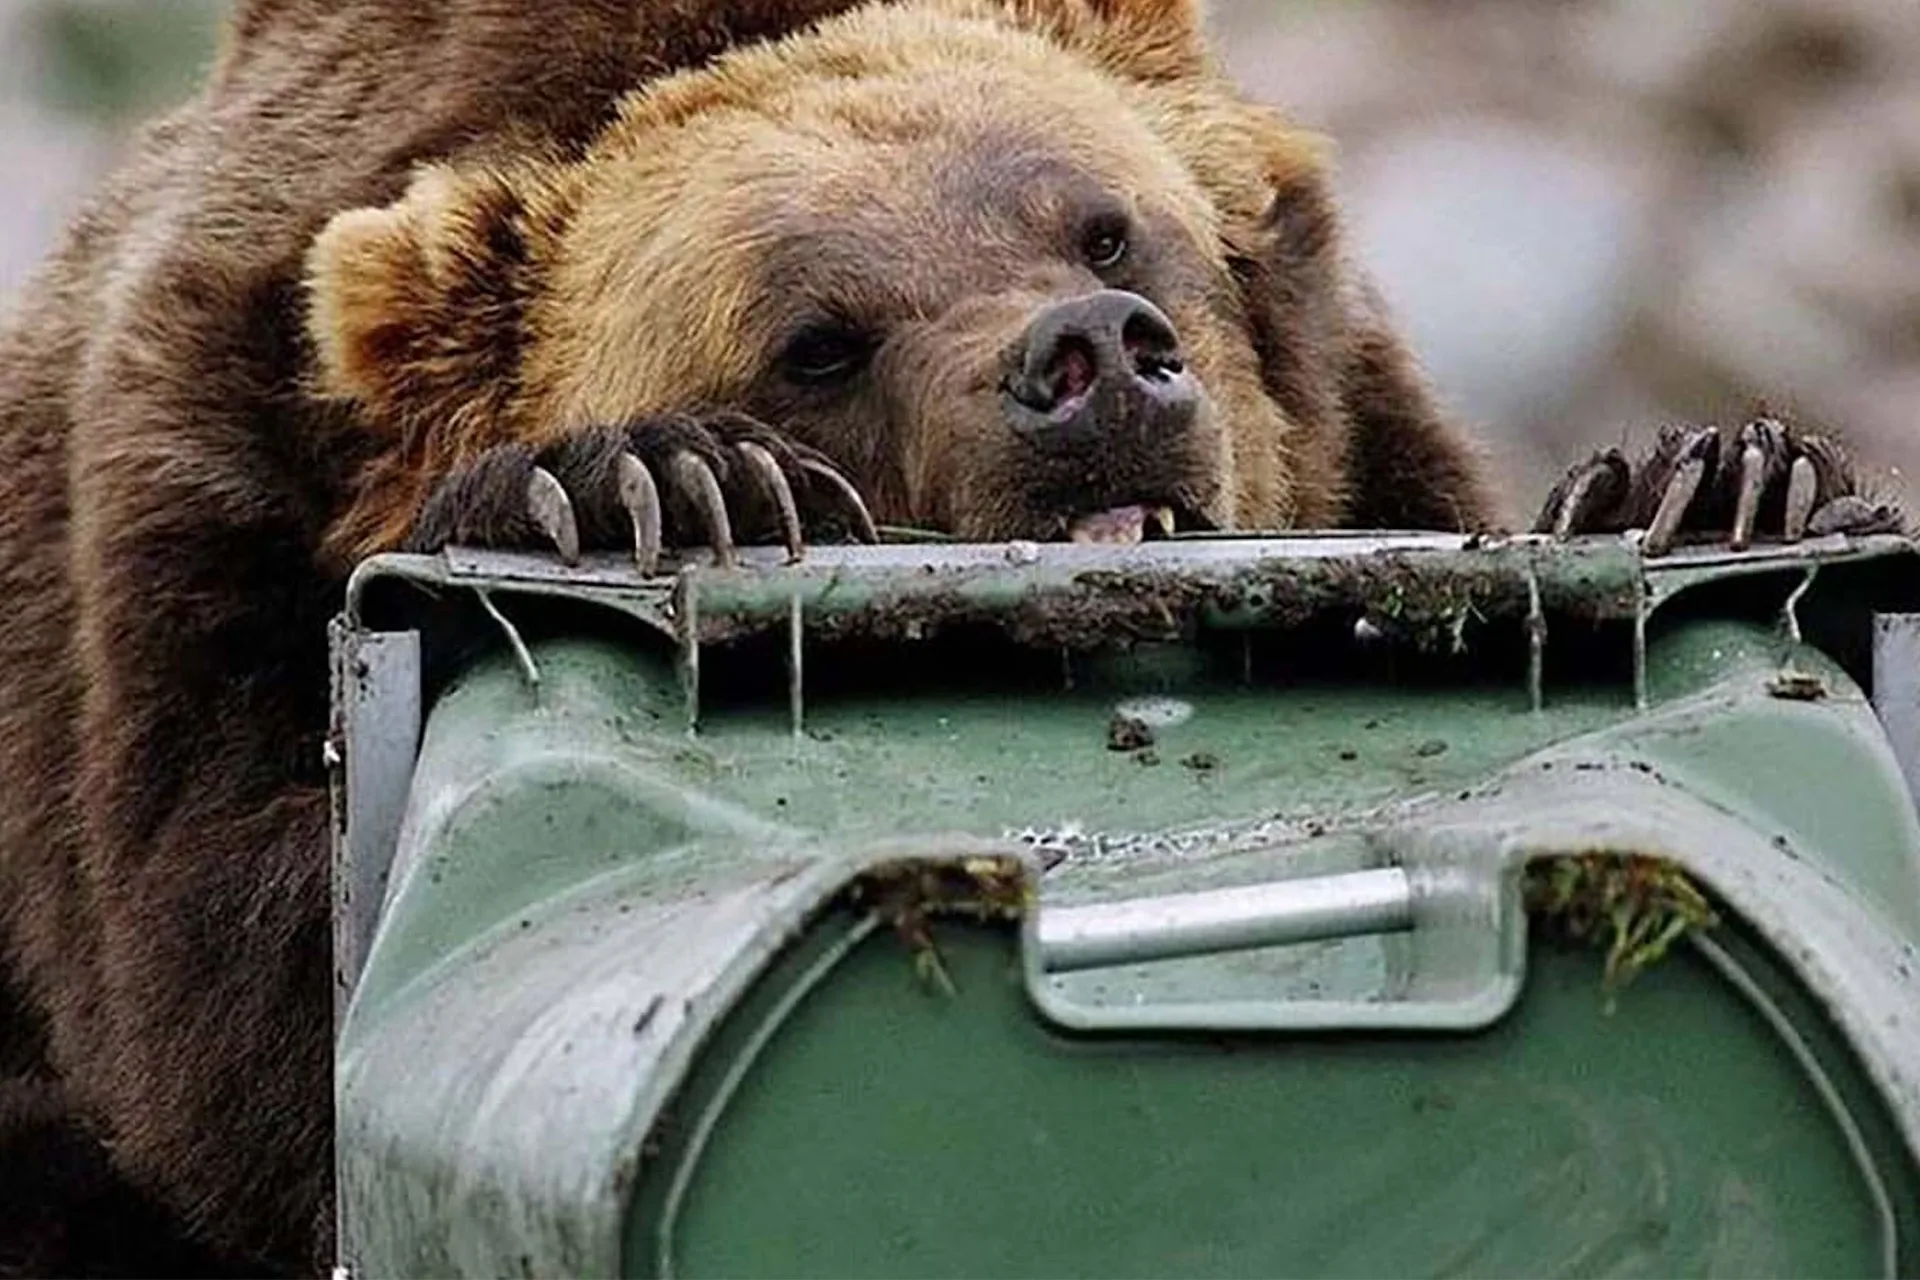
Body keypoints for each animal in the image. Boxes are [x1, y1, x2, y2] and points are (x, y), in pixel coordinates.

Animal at [0, 0, 1897, 1275]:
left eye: (1108, 224)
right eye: (815, 338)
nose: (1096, 358)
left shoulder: (1375, 425)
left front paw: (1725, 471)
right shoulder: (194, 541)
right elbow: (230, 982)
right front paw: (644, 483)